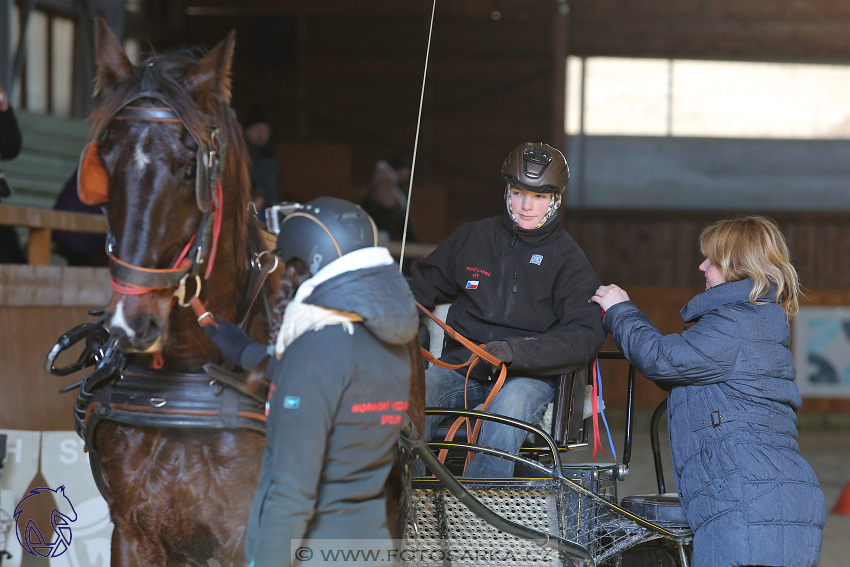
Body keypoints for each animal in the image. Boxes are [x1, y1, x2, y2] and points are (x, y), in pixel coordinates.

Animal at [86, 20, 424, 564]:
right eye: (106, 162)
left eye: (191, 168)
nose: (129, 322)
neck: (187, 374)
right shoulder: (134, 534)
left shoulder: (248, 533)